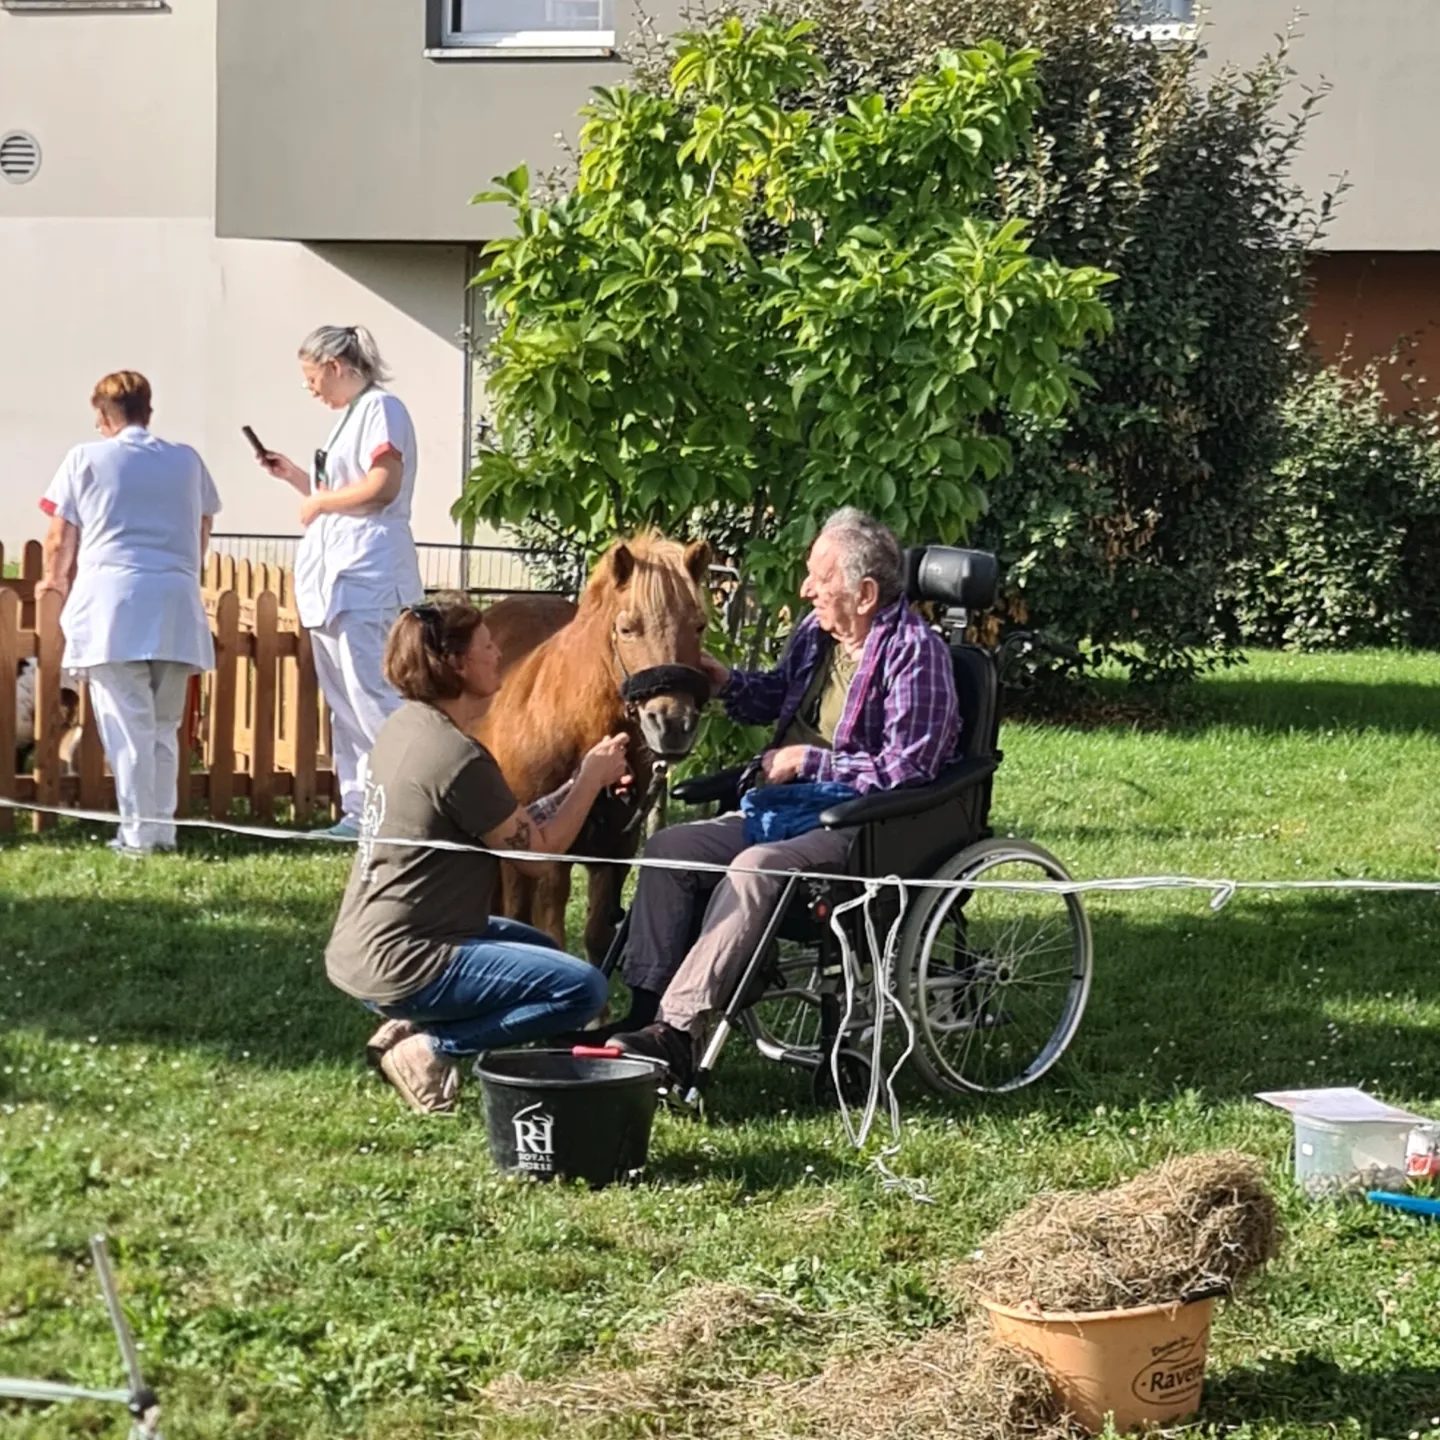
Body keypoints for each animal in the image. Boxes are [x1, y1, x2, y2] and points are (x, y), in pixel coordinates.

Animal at [478, 535, 714, 961]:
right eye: (627, 627)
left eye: (699, 625)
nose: (672, 725)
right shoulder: (546, 854)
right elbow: (549, 931)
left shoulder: (616, 852)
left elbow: (597, 938)